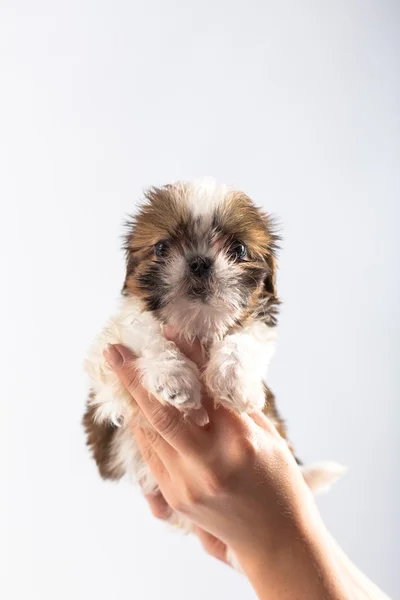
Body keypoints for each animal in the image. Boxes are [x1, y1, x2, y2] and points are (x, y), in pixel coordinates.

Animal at [83, 176, 344, 560]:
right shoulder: (109, 359)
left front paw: (232, 379)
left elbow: (243, 340)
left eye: (238, 250)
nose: (199, 262)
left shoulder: (255, 328)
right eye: (161, 248)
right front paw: (174, 379)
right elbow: (147, 334)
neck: (196, 324)